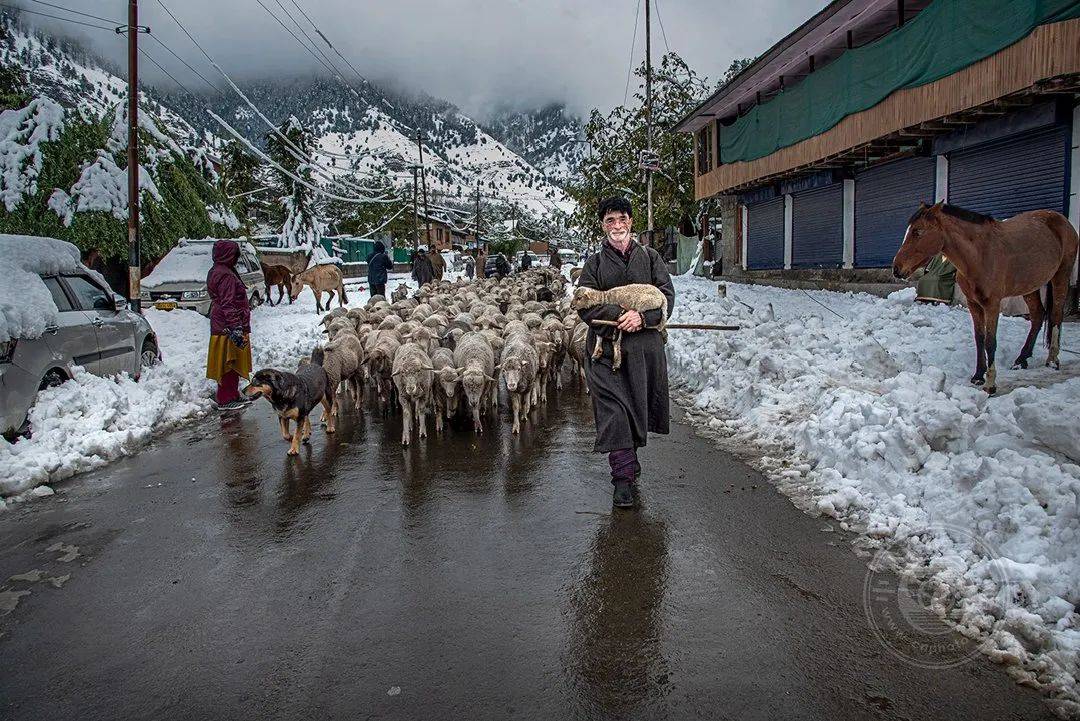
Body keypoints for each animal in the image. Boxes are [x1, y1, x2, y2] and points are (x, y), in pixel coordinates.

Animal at [894, 199, 1080, 395]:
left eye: (918, 231)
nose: (896, 269)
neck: (979, 255)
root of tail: (1062, 220)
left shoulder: (992, 304)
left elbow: (990, 341)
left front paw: (990, 384)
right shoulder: (973, 304)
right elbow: (979, 338)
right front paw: (978, 375)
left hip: (1061, 276)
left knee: (1056, 316)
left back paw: (1052, 360)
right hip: (1029, 287)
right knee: (1038, 316)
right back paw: (1021, 359)